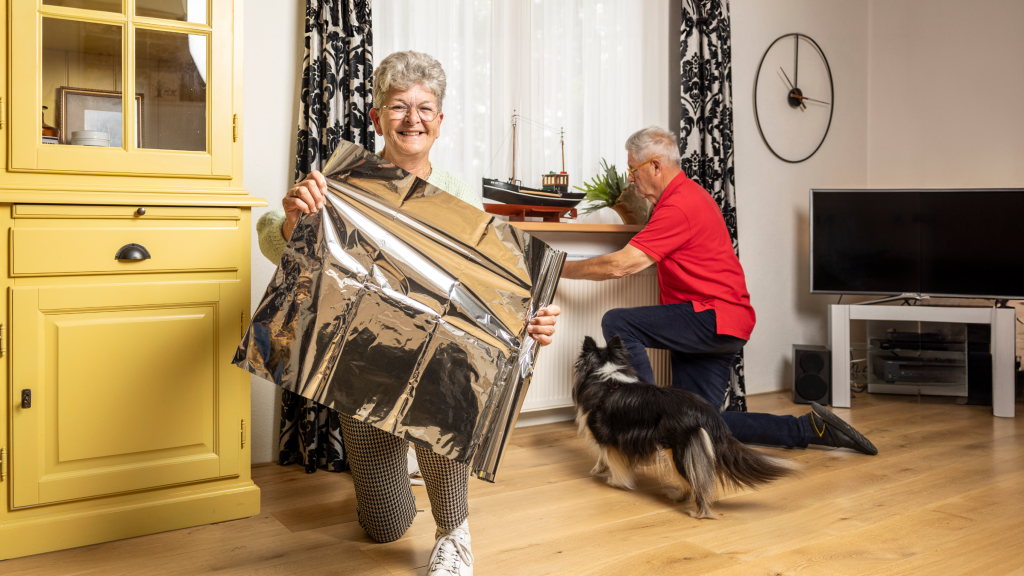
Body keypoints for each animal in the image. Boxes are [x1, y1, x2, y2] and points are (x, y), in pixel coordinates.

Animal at [573, 332, 794, 516]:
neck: (607, 378)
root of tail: (709, 414)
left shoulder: (607, 435)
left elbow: (610, 458)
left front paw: (614, 481)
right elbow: (603, 457)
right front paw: (599, 470)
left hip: (681, 450)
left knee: (697, 486)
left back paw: (698, 513)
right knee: (691, 482)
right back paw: (677, 495)